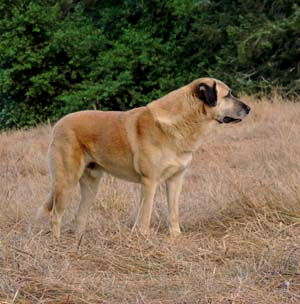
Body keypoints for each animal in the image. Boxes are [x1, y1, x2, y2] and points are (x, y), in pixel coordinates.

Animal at [38, 78, 251, 242]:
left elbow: (173, 212)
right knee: (56, 216)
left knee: (79, 217)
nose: (249, 108)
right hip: (66, 183)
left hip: (91, 186)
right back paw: (57, 244)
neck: (182, 121)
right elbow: (145, 216)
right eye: (228, 95)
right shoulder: (150, 182)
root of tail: (58, 125)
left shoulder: (175, 180)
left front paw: (176, 236)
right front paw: (144, 239)